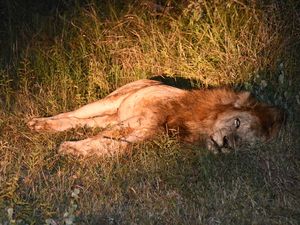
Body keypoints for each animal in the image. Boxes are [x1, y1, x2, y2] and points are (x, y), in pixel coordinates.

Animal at [27, 78, 284, 156]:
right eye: (237, 122)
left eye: (244, 144)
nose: (227, 144)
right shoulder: (140, 120)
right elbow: (103, 139)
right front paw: (69, 148)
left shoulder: (146, 133)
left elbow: (111, 145)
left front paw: (74, 150)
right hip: (110, 101)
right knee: (70, 115)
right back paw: (37, 124)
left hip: (110, 116)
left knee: (82, 124)